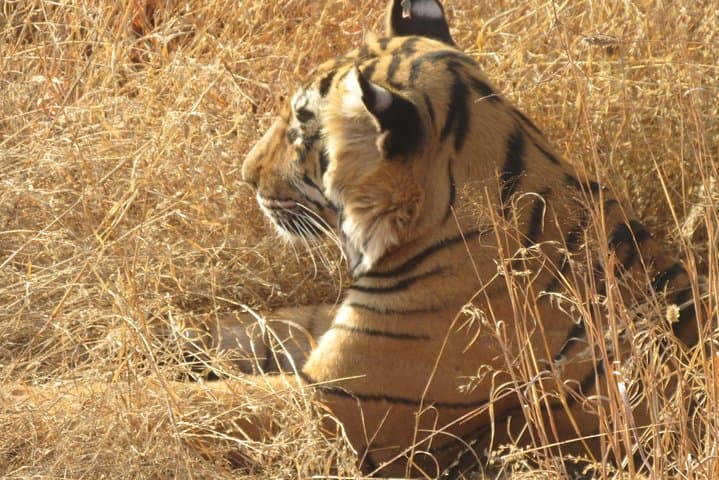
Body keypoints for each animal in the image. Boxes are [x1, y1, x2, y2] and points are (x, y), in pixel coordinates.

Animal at [6, 0, 701, 478]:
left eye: (298, 129)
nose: (244, 175)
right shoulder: (335, 326)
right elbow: (238, 325)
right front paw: (117, 335)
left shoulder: (337, 408)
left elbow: (182, 401)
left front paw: (37, 402)